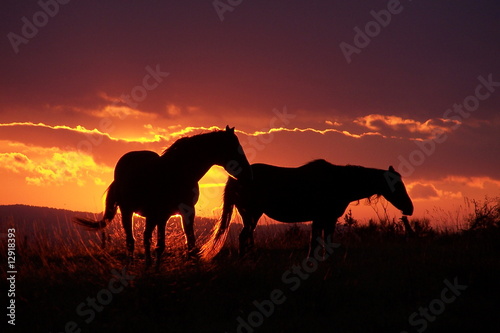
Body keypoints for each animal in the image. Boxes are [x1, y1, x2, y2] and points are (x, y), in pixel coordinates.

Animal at [74, 125, 252, 268]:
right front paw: (156, 270)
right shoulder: (161, 214)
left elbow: (189, 242)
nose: (247, 172)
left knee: (145, 237)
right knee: (131, 241)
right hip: (128, 211)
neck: (176, 173)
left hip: (149, 216)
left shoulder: (184, 213)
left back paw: (147, 264)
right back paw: (131, 266)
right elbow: (160, 245)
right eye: (234, 147)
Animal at [200, 159, 414, 260]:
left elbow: (320, 240)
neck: (339, 182)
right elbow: (319, 240)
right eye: (397, 185)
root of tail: (235, 178)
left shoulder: (324, 219)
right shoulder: (324, 218)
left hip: (249, 214)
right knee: (244, 236)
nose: (409, 209)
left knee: (248, 236)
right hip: (252, 213)